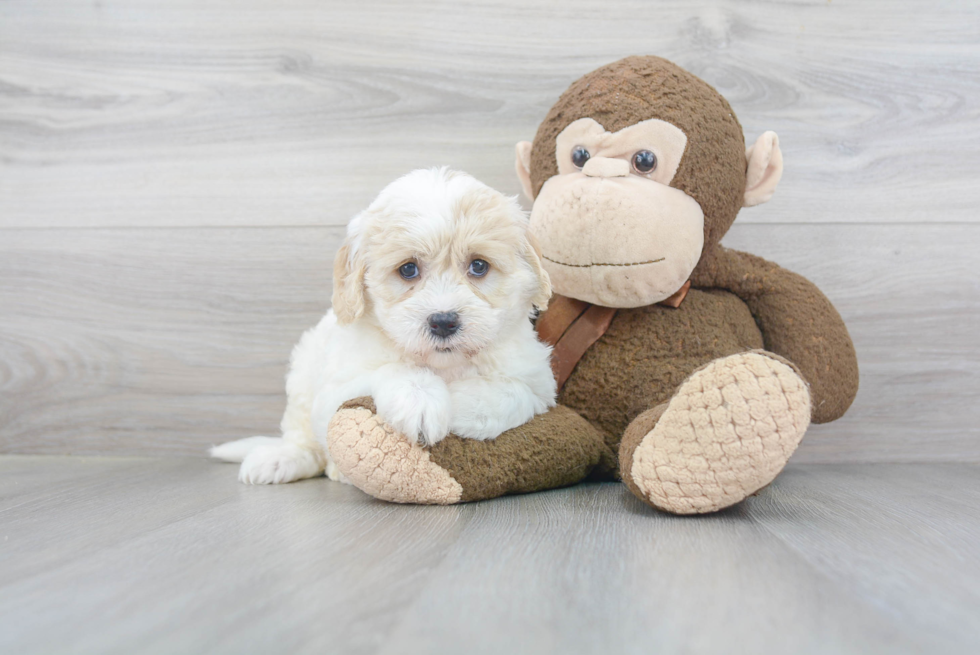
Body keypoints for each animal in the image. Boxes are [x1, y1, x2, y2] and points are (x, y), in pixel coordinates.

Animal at [210, 168, 556, 486]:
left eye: (479, 266)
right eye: (408, 269)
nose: (443, 321)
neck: (442, 364)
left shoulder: (538, 385)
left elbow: (508, 392)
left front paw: (454, 404)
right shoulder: (336, 389)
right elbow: (391, 370)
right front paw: (423, 400)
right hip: (303, 376)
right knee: (303, 438)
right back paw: (282, 460)